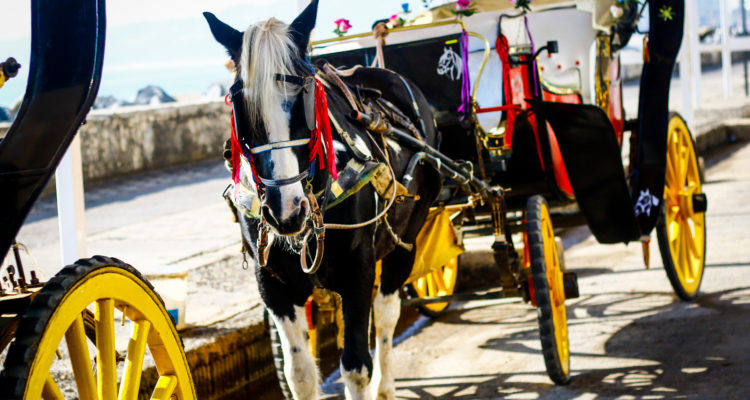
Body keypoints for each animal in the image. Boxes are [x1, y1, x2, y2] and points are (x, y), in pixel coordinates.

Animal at [204, 1, 442, 398]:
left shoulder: (358, 269)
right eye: (239, 101)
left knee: (387, 313)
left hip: (406, 239)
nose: (285, 210)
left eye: (306, 97)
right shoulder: (273, 282)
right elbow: (299, 372)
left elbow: (357, 367)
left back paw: (386, 385)